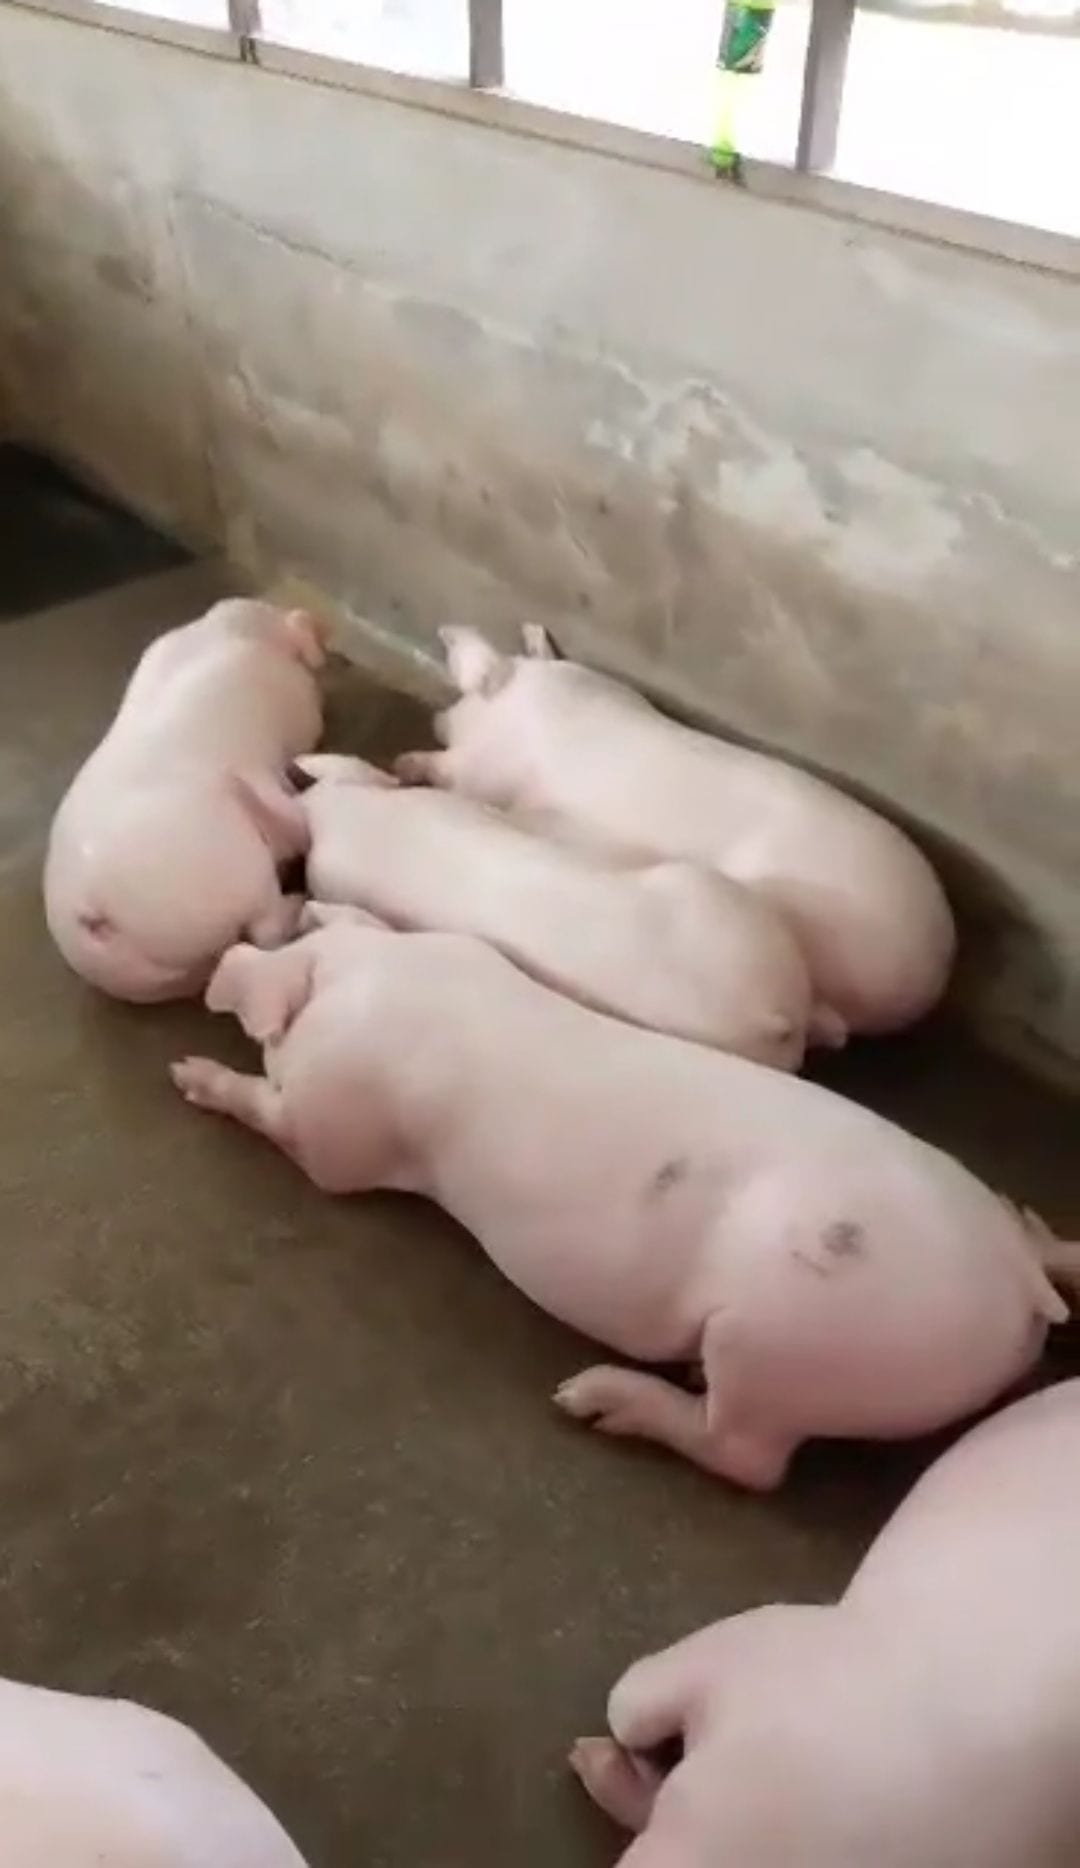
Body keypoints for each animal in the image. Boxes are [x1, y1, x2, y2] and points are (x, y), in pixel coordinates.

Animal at [171, 920, 1068, 1489]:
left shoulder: (335, 1133)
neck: (370, 976)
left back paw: (592, 1399)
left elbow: (286, 1126)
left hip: (782, 1343)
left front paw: (188, 1075)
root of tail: (1020, 1283)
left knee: (748, 1458)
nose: (222, 958)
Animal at [394, 624, 957, 1041]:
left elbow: (456, 775)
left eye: (465, 697)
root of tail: (935, 961)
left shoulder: (486, 775)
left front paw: (407, 762)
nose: (439, 718)